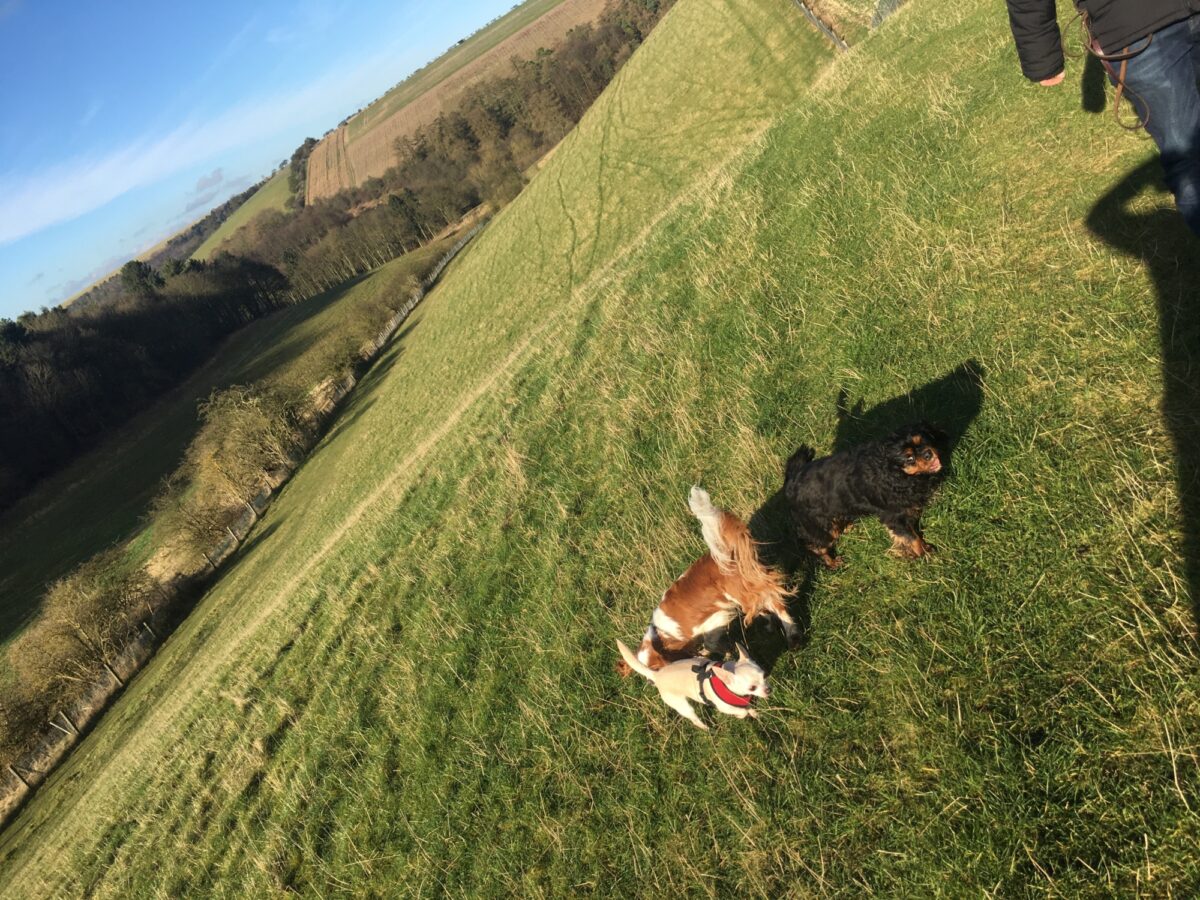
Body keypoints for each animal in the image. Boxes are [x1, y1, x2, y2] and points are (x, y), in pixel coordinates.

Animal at [614, 638, 772, 729]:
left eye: (764, 676)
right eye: (752, 687)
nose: (768, 690)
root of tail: (657, 675)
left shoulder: (741, 700)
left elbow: (747, 706)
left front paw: (754, 713)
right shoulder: (724, 707)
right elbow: (742, 711)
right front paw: (741, 715)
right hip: (683, 706)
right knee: (694, 719)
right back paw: (706, 728)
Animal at [619, 487, 796, 676]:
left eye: (656, 668)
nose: (654, 680)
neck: (662, 633)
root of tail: (726, 555)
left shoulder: (714, 620)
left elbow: (711, 642)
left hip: (742, 594)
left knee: (775, 603)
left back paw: (792, 634)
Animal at [782, 424, 950, 571]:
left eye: (924, 441)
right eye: (909, 458)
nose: (928, 453)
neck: (890, 470)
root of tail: (791, 479)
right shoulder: (894, 517)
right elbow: (912, 538)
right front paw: (925, 553)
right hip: (820, 527)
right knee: (817, 547)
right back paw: (832, 563)